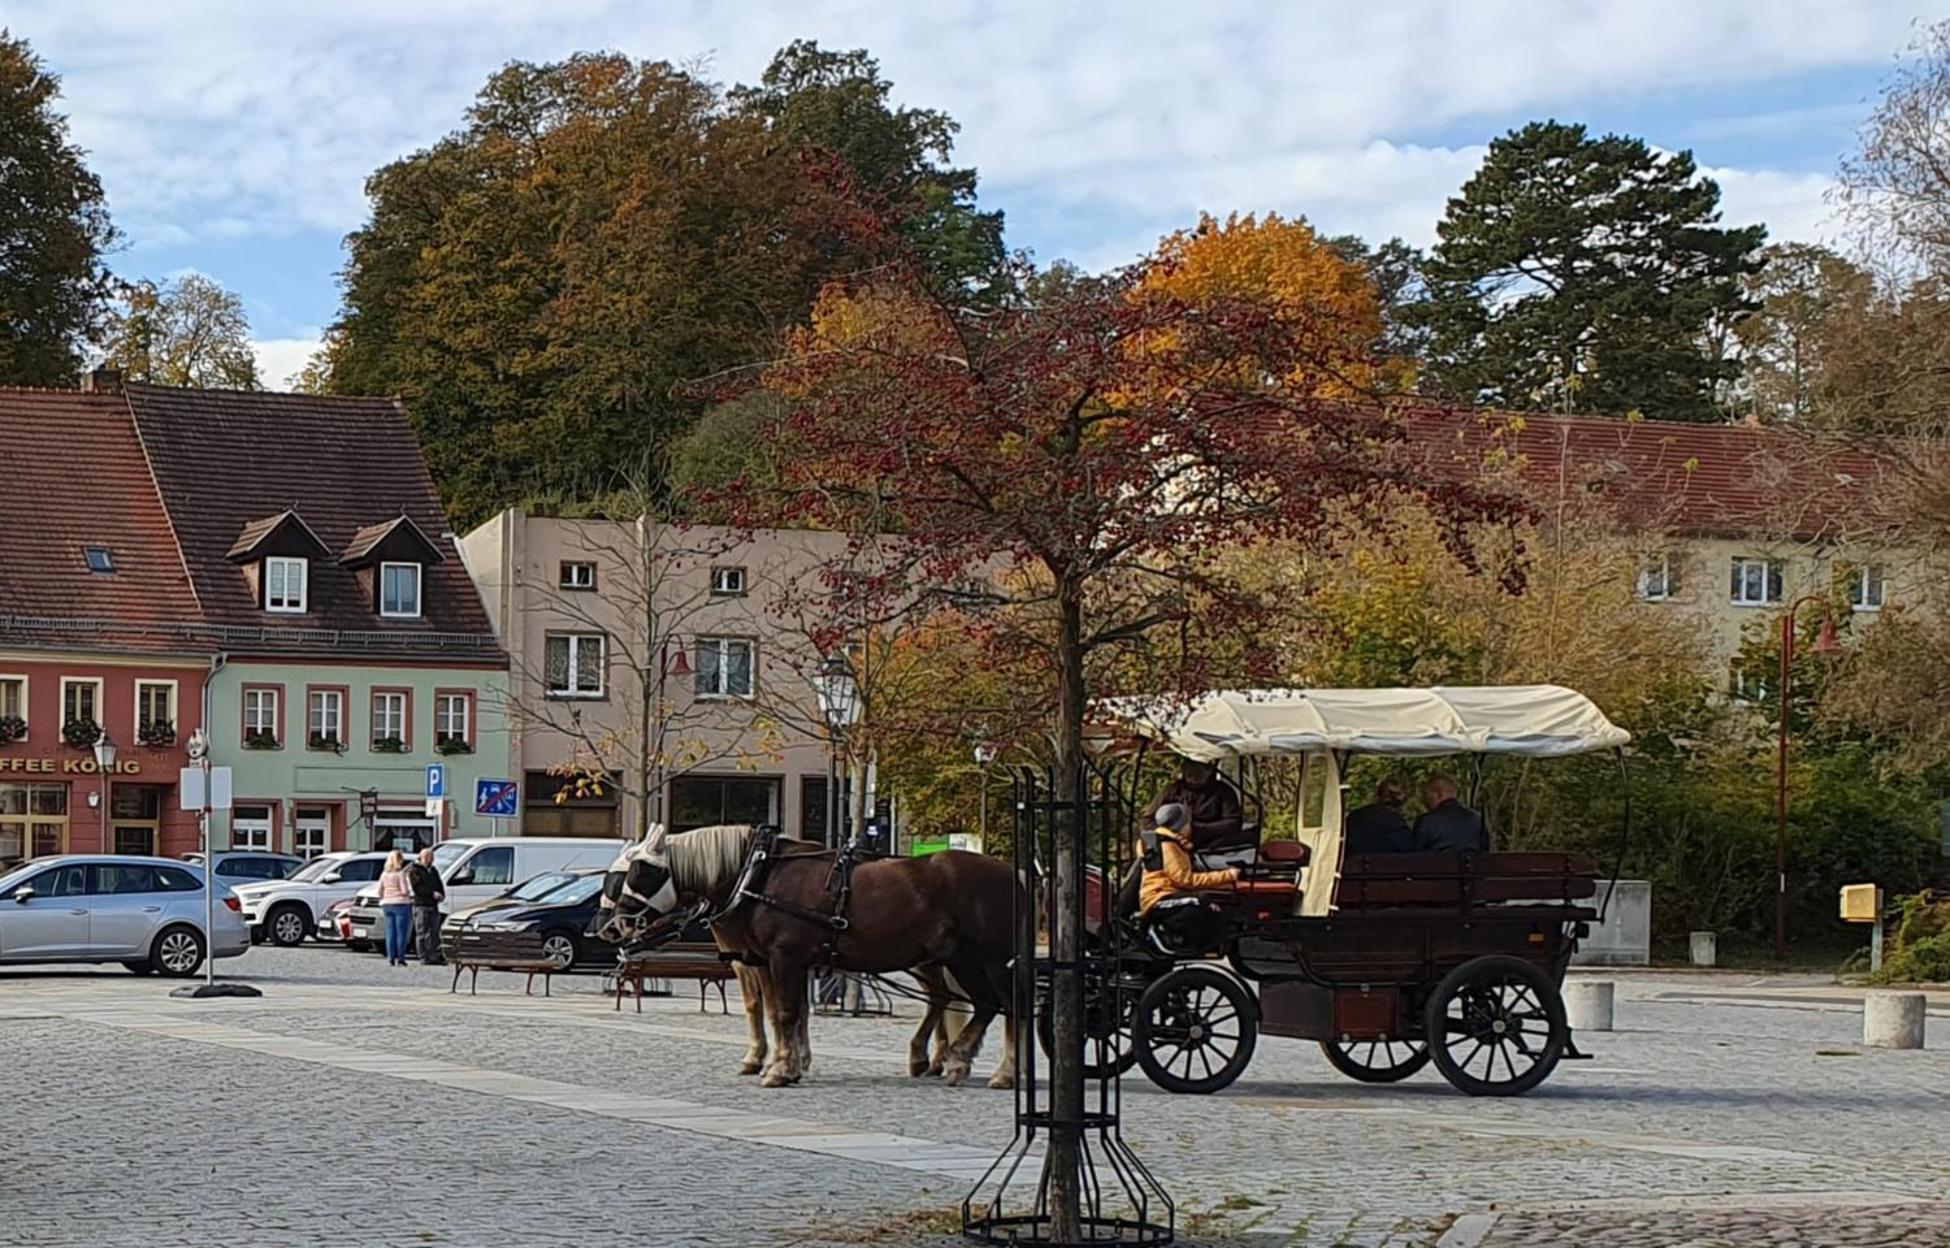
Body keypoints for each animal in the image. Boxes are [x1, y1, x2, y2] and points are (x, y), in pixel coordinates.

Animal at [600, 822, 1014, 1084]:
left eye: (639, 873)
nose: (612, 925)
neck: (757, 875)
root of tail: (1012, 873)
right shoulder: (775, 961)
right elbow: (787, 1012)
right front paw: (789, 1062)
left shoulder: (782, 957)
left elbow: (782, 1012)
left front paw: (779, 1069)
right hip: (956, 959)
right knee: (977, 1004)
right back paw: (952, 1059)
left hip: (992, 960)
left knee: (1007, 1007)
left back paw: (1001, 1070)